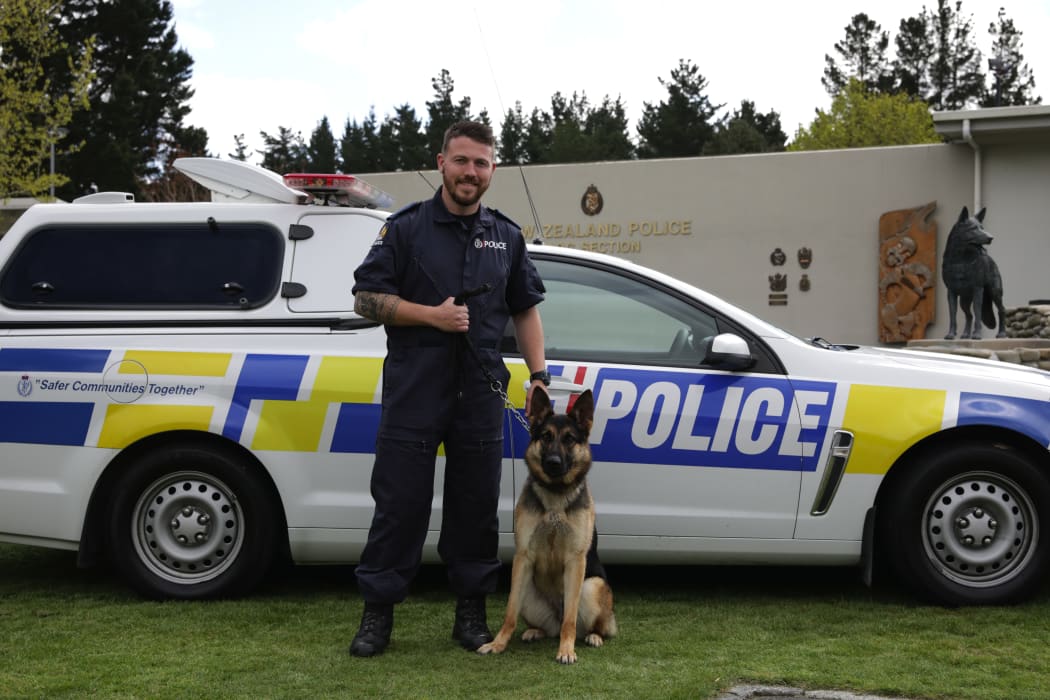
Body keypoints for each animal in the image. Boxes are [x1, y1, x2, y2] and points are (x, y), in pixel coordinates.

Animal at [480, 392, 617, 667]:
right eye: (546, 436)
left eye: (570, 439)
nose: (553, 463)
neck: (555, 494)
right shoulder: (523, 558)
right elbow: (509, 613)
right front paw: (498, 644)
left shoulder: (576, 561)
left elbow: (570, 620)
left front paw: (566, 650)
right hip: (527, 590)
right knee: (546, 626)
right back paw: (535, 631)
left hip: (592, 586)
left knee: (588, 624)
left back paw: (594, 637)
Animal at [944, 205, 1007, 340]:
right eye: (974, 229)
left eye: (982, 228)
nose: (991, 238)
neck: (960, 260)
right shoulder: (951, 292)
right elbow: (953, 314)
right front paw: (951, 334)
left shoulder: (978, 289)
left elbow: (977, 311)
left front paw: (977, 334)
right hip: (964, 300)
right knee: (969, 315)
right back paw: (965, 334)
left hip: (995, 292)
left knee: (1002, 310)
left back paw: (1002, 333)